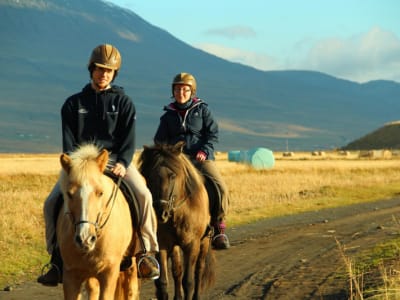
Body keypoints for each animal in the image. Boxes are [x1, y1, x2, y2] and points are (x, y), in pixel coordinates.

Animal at [55, 144, 138, 298]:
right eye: (69, 194)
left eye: (100, 193)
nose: (85, 239)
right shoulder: (70, 275)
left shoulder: (109, 274)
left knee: (131, 288)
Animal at [138, 142, 216, 298]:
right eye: (150, 176)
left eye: (172, 175)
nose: (161, 212)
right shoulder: (162, 244)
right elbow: (163, 282)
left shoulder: (192, 245)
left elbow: (188, 282)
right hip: (175, 246)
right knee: (177, 271)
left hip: (204, 241)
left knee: (199, 270)